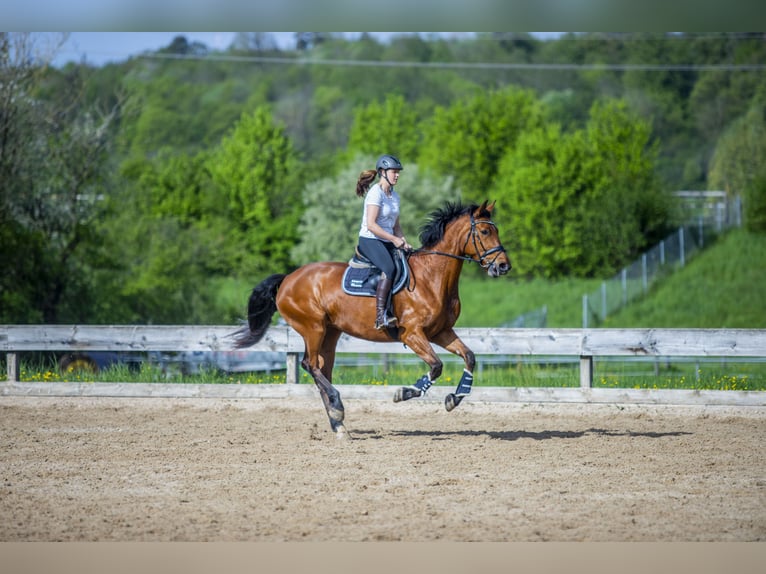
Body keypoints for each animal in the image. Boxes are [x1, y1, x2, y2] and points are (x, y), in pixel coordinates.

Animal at [232, 200, 511, 438]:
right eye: (485, 231)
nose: (504, 266)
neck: (432, 277)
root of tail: (287, 279)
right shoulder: (412, 334)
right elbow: (436, 366)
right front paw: (403, 393)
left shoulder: (441, 332)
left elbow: (469, 357)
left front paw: (454, 398)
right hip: (313, 327)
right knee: (309, 365)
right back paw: (337, 407)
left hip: (330, 333)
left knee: (322, 369)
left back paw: (339, 425)